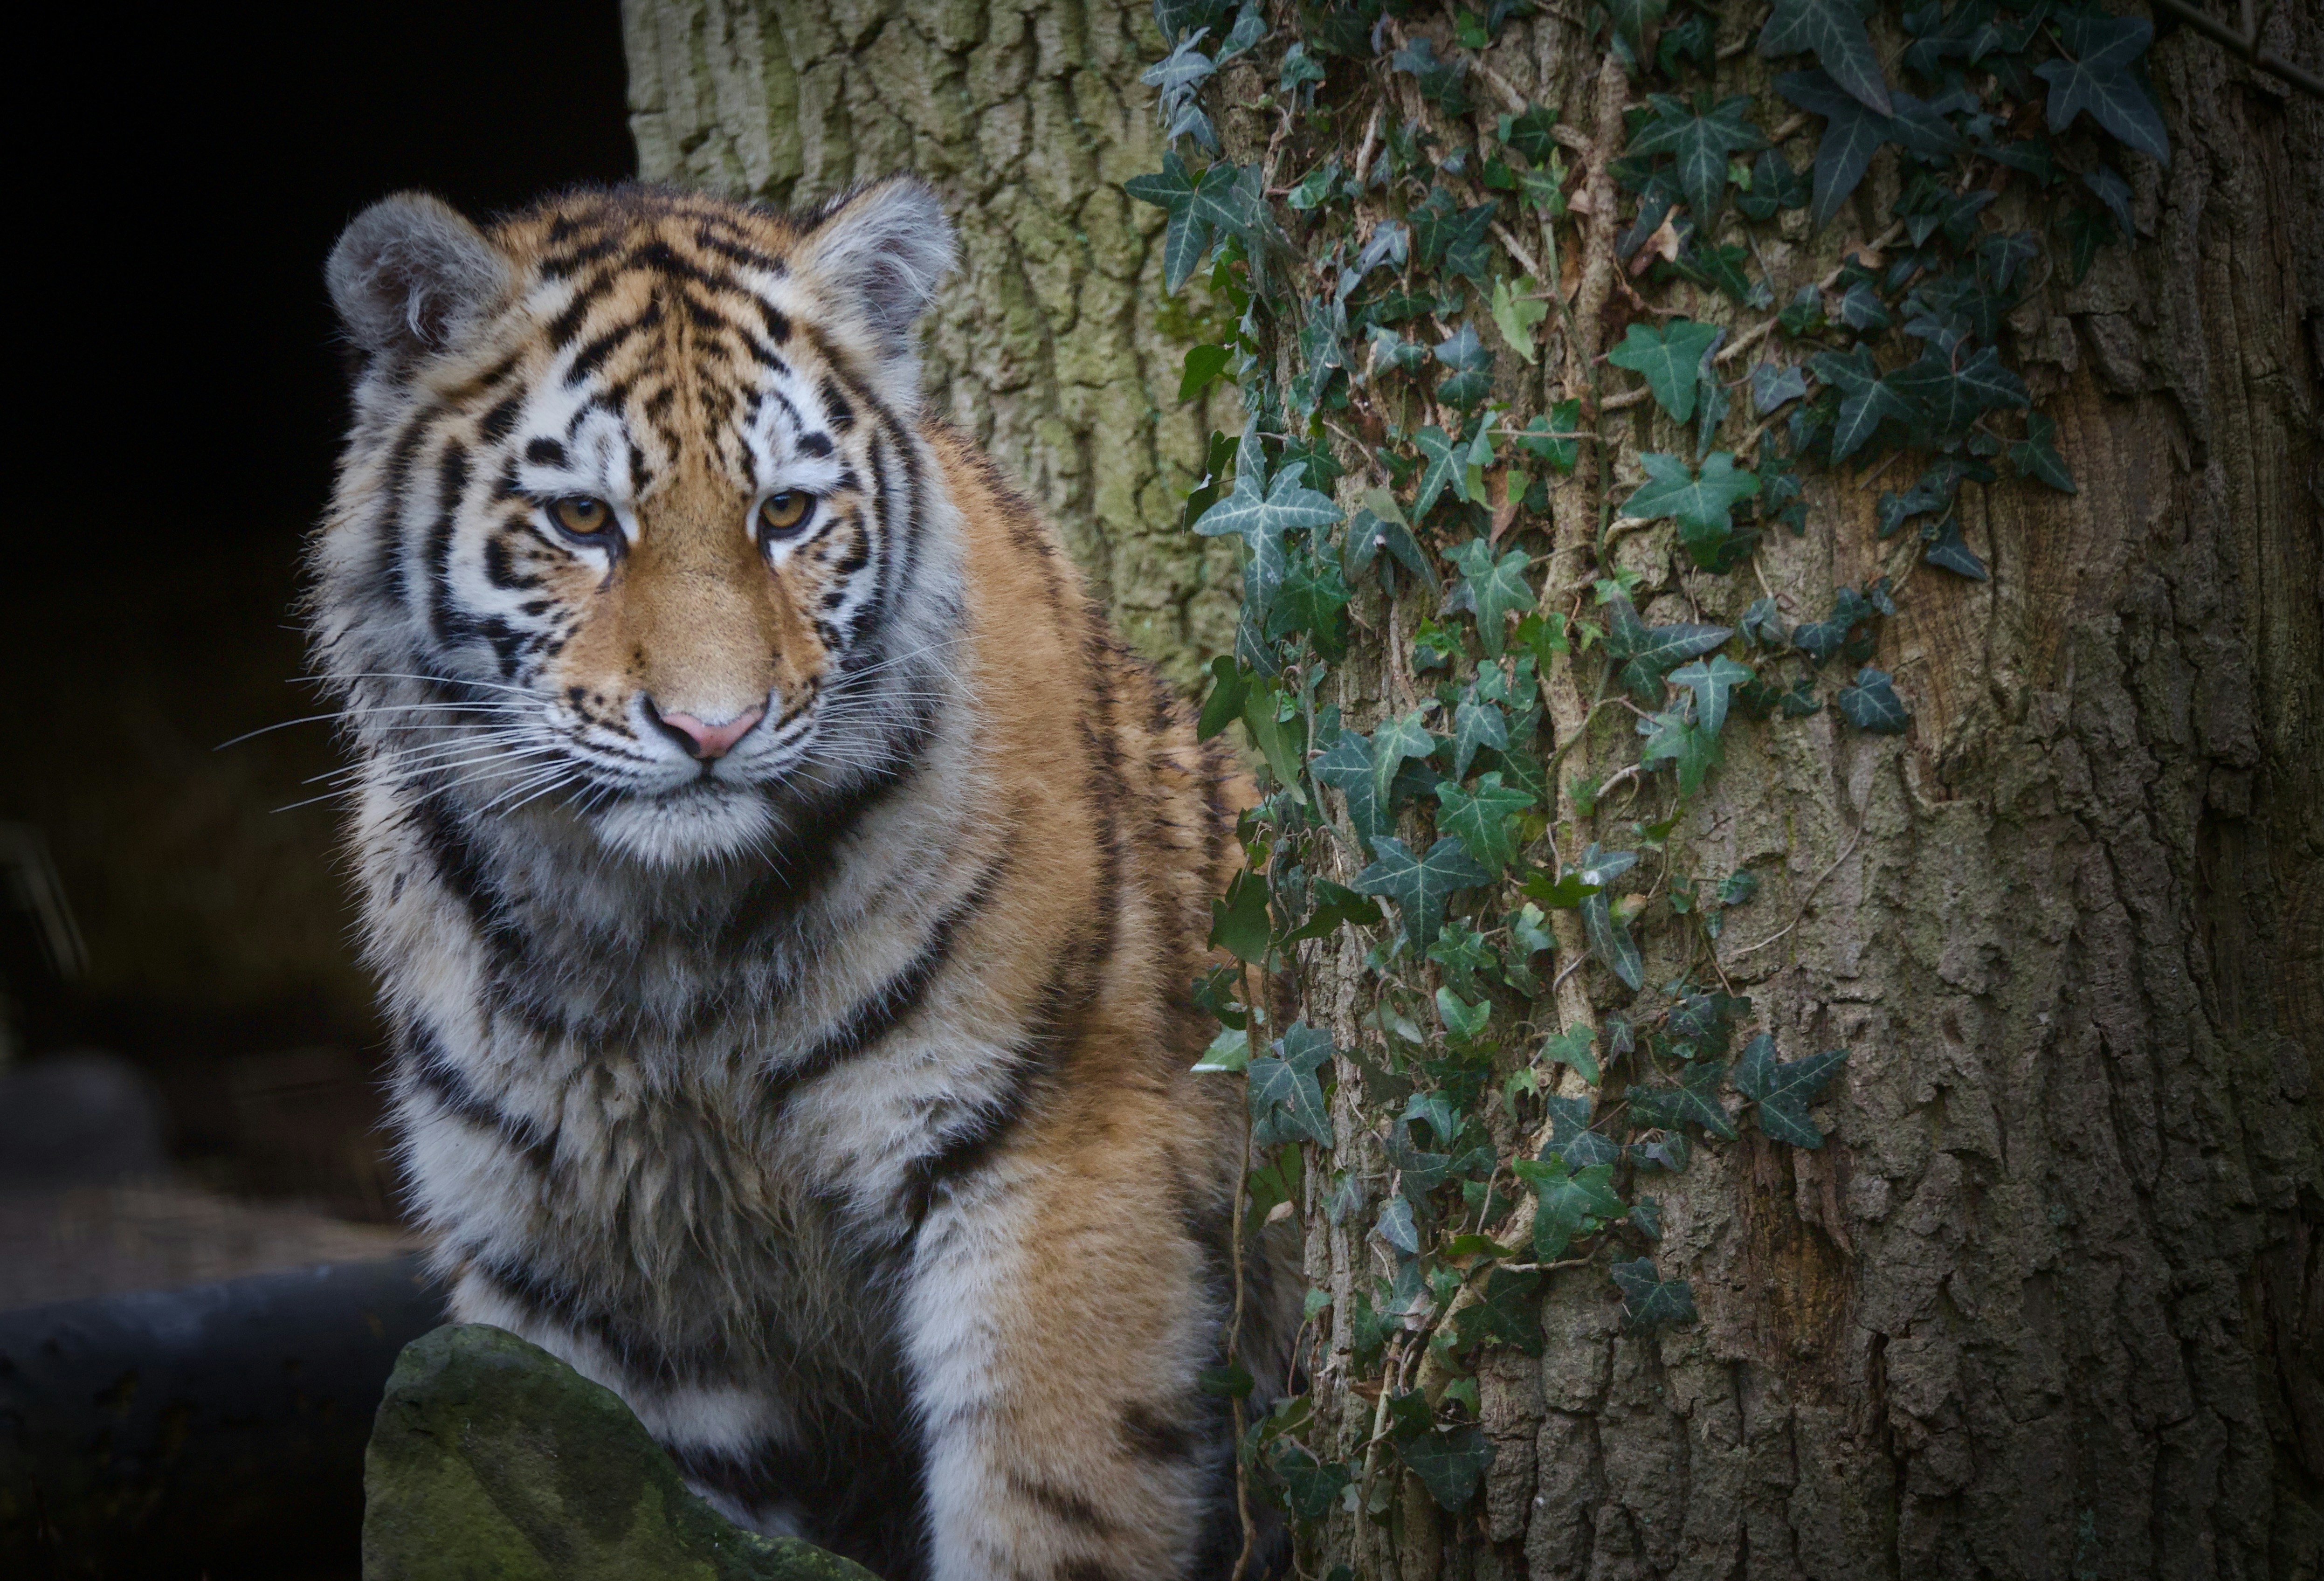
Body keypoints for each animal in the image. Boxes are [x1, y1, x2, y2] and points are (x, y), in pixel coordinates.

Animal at [312, 179, 1293, 1581]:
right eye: (582, 520)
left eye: (784, 514)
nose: (711, 729)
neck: (657, 946)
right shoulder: (576, 1275)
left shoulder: (1055, 1163)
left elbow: (1050, 1508)